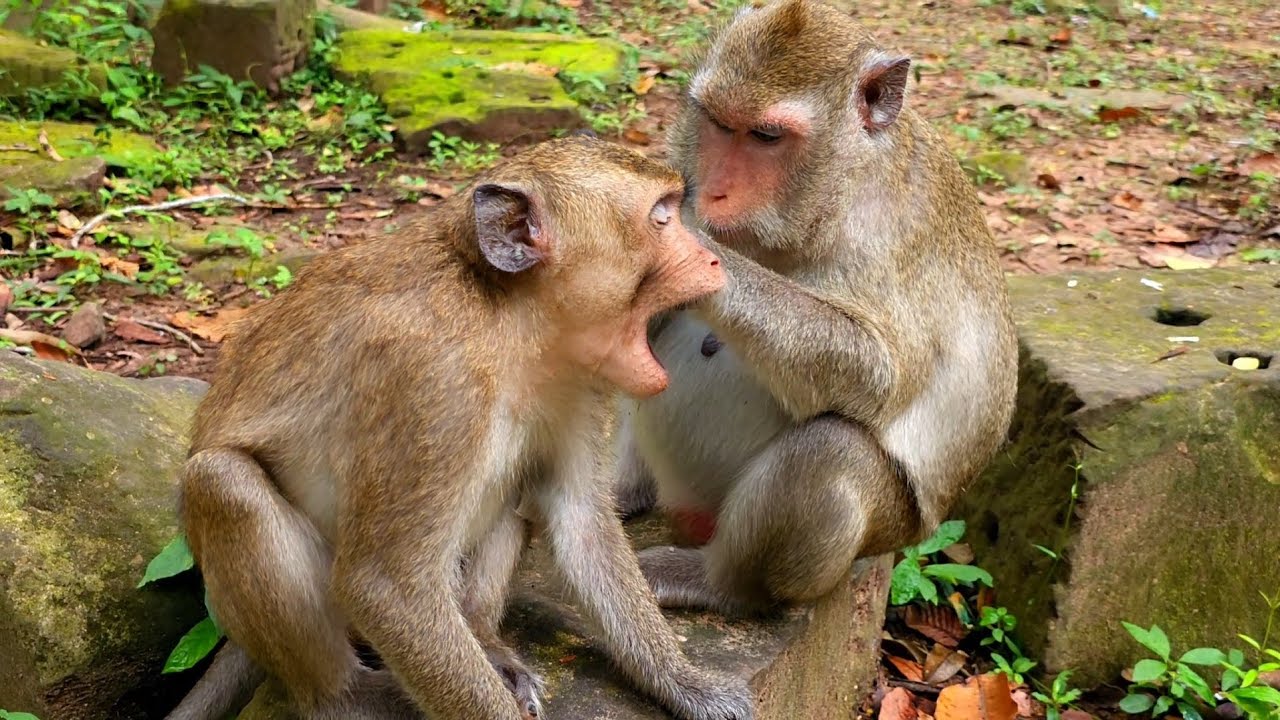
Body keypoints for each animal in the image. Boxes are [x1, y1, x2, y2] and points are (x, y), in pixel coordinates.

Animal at [166, 136, 756, 720]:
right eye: (661, 219)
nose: (712, 258)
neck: (510, 322)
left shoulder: (579, 380)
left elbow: (580, 520)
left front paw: (690, 685)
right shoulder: (431, 380)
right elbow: (387, 587)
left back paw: (485, 640)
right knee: (224, 483)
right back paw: (345, 695)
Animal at [615, 0, 1019, 616]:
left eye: (765, 136)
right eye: (718, 124)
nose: (712, 192)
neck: (832, 198)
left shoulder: (892, 239)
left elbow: (879, 375)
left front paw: (684, 243)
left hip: (880, 530)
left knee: (832, 449)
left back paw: (720, 583)